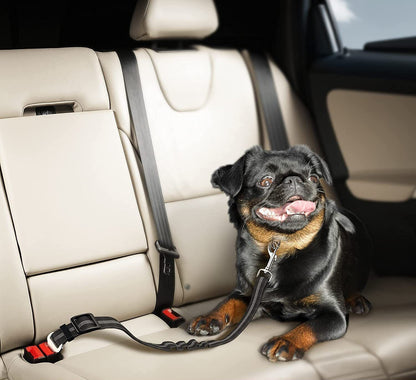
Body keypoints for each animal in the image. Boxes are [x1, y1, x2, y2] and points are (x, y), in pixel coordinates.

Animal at [188, 145, 370, 362]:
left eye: (313, 178)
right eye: (265, 181)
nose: (294, 179)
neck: (281, 248)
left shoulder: (334, 315)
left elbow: (309, 326)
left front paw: (287, 341)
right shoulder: (248, 295)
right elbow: (228, 302)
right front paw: (209, 318)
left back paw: (356, 300)